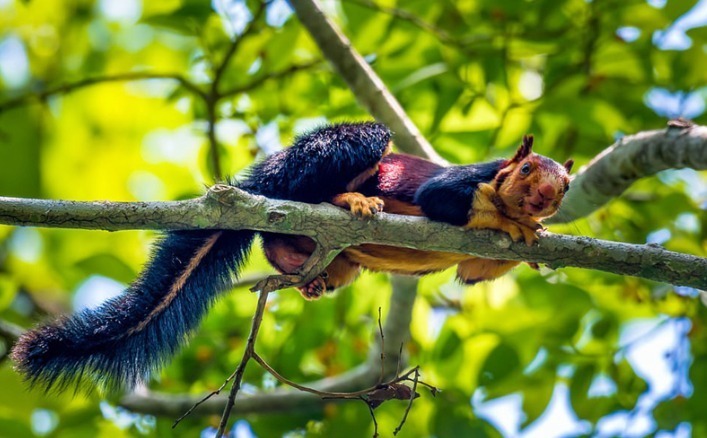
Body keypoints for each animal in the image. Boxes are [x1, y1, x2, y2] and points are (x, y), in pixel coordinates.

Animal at [12, 121, 576, 392]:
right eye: (527, 169)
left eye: (566, 185)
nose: (545, 197)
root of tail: (263, 181)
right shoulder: (462, 182)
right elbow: (450, 200)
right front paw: (510, 221)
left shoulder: (474, 264)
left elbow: (475, 270)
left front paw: (534, 233)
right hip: (331, 155)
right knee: (310, 187)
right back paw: (347, 200)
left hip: (330, 258)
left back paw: (309, 274)